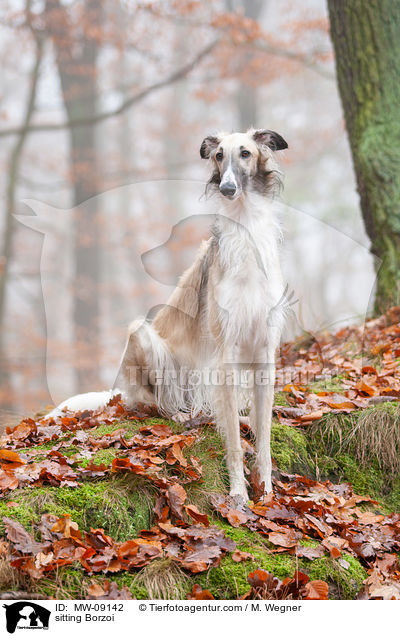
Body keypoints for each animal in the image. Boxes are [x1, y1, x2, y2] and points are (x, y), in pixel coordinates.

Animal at [48, 126, 290, 500]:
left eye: (245, 153)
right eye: (219, 155)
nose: (227, 188)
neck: (246, 230)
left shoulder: (265, 352)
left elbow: (264, 437)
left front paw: (265, 493)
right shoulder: (226, 354)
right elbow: (235, 442)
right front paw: (239, 494)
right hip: (142, 335)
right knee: (151, 400)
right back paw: (174, 413)